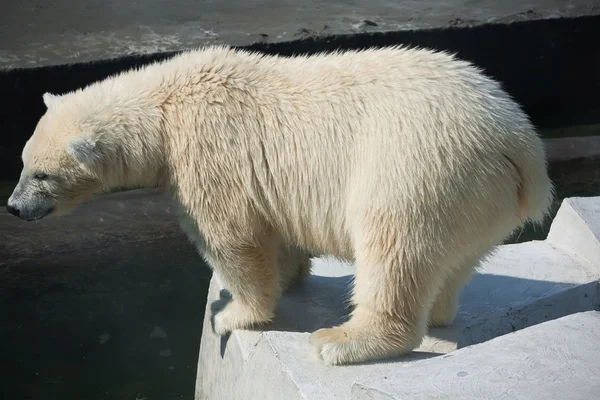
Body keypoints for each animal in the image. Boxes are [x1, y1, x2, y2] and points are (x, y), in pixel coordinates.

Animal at [5, 44, 552, 366]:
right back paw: (438, 310)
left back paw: (342, 340)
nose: (13, 207)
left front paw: (232, 314)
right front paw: (290, 275)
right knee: (455, 261)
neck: (164, 104)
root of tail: (521, 144)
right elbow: (275, 232)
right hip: (480, 195)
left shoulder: (207, 151)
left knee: (393, 246)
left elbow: (232, 238)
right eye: (22, 162)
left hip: (420, 166)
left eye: (42, 175)